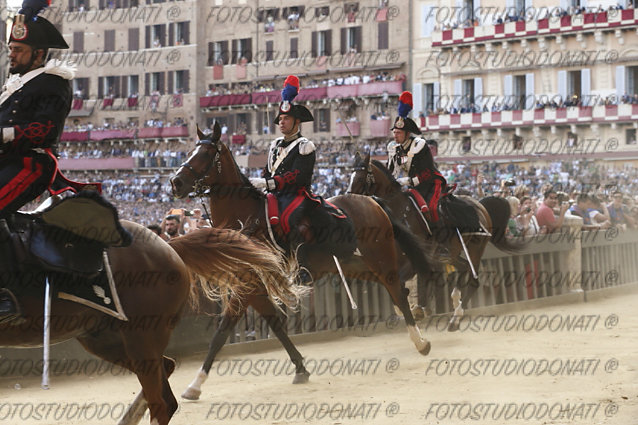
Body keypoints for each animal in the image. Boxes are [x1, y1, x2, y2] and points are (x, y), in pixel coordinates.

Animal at [171, 121, 436, 400]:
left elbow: (221, 333)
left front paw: (196, 384)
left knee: (398, 291)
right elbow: (274, 326)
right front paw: (300, 368)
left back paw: (421, 342)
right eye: (191, 151)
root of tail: (372, 201)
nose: (175, 182)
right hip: (358, 266)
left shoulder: (247, 287)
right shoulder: (253, 288)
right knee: (398, 291)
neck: (245, 221)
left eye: (205, 154)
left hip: (381, 260)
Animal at [350, 152, 524, 332]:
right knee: (463, 267)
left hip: (475, 248)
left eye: (360, 177)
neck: (398, 210)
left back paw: (455, 318)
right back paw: (454, 303)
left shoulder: (415, 257)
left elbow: (413, 279)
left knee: (474, 280)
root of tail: (481, 205)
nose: (349, 197)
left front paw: (417, 309)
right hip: (452, 252)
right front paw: (411, 309)